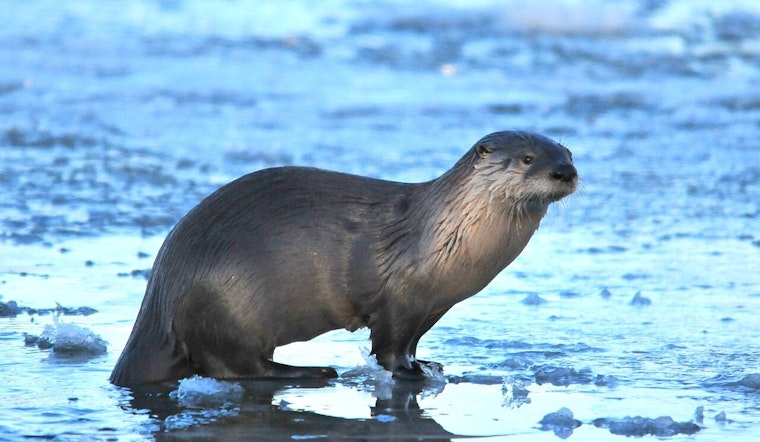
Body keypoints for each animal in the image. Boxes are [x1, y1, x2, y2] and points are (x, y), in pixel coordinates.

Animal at [110, 131, 578, 387]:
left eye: (569, 153)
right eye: (528, 159)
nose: (565, 173)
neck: (443, 235)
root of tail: (161, 295)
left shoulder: (432, 305)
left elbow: (413, 342)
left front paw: (426, 362)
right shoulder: (399, 297)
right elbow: (388, 347)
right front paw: (409, 373)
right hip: (226, 303)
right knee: (233, 366)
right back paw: (311, 371)